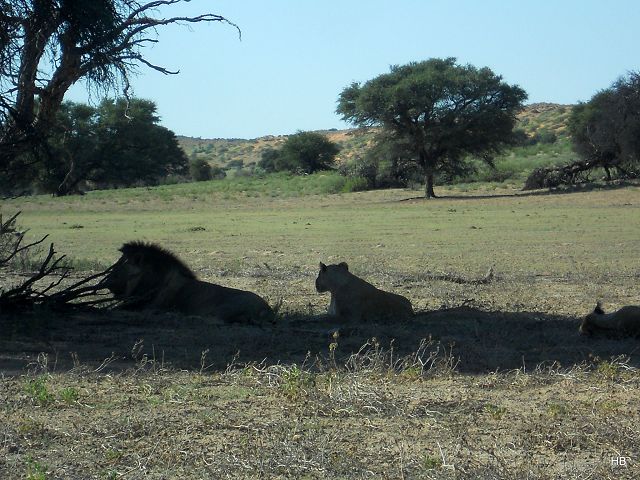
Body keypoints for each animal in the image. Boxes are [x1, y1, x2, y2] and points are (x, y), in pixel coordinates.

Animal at [102, 242, 272, 324]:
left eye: (122, 265)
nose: (106, 281)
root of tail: (268, 310)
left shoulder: (148, 306)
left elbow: (116, 310)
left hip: (225, 308)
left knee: (215, 320)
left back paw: (183, 317)